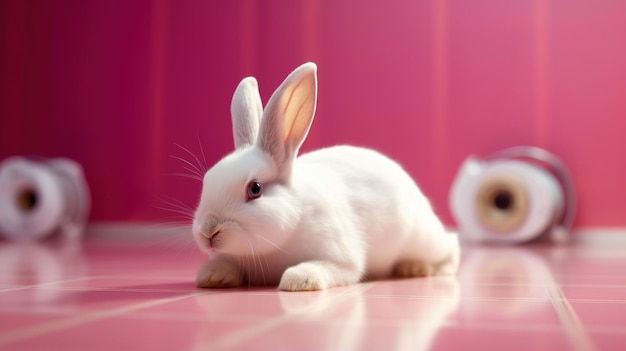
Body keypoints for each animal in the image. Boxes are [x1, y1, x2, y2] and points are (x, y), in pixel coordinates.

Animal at [191, 62, 458, 292]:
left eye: (255, 188)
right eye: (207, 180)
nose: (208, 231)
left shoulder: (341, 257)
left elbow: (332, 268)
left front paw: (297, 280)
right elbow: (224, 265)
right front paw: (211, 276)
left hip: (423, 238)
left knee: (452, 249)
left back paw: (416, 268)